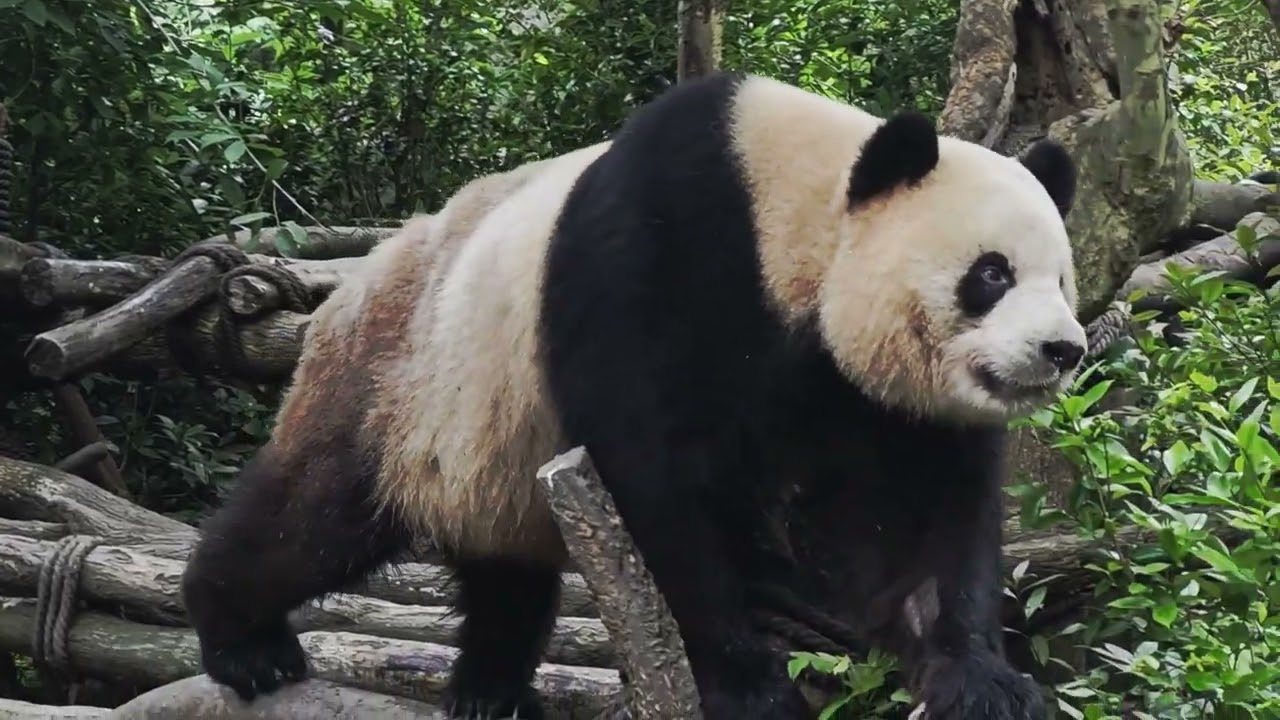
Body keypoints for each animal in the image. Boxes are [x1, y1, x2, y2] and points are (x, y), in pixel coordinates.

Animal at [181, 71, 1084, 720]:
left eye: (1064, 280)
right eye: (991, 275)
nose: (1063, 350)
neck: (796, 214)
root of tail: (347, 286)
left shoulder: (883, 402)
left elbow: (930, 522)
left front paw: (980, 682)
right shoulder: (664, 251)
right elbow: (658, 476)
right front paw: (751, 685)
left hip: (488, 442)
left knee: (502, 560)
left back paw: (491, 691)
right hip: (393, 376)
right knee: (312, 515)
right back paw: (244, 642)